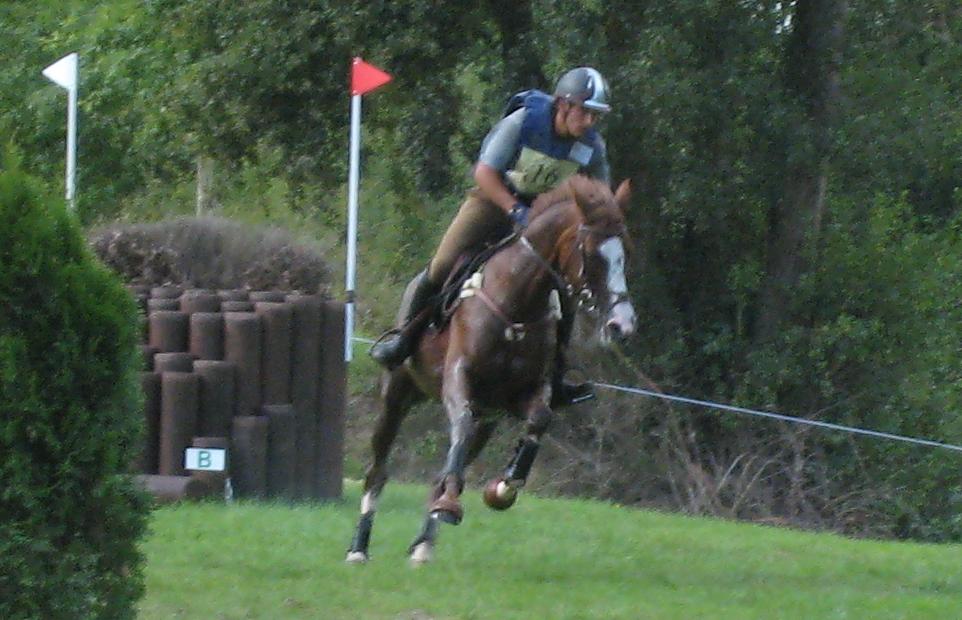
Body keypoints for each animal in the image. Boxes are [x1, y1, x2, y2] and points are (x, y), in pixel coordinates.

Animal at [346, 176, 636, 568]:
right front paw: (459, 501)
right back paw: (359, 547)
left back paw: (424, 543)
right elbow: (461, 422)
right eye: (591, 254)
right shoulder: (458, 379)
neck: (518, 303)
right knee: (378, 470)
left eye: (625, 254)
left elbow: (540, 419)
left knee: (446, 467)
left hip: (489, 421)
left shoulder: (524, 394)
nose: (623, 324)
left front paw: (504, 487)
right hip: (397, 395)